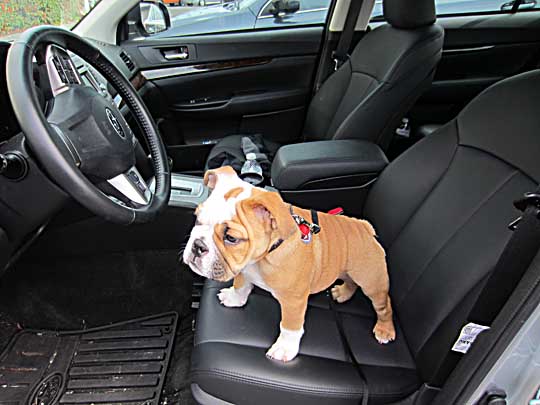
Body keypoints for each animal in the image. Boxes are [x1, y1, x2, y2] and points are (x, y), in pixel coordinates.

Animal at [184, 166, 394, 362]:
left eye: (231, 238)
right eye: (198, 219)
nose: (198, 246)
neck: (262, 257)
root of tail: (364, 227)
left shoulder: (294, 301)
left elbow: (289, 327)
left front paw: (284, 349)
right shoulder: (245, 270)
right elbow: (241, 286)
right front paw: (234, 298)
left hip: (371, 281)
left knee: (384, 304)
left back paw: (385, 330)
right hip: (344, 269)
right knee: (350, 281)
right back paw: (342, 293)